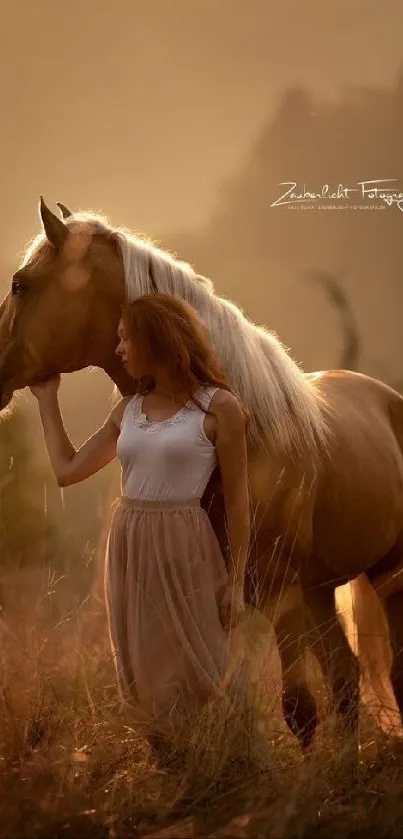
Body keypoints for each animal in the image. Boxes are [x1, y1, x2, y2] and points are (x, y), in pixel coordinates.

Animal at [0, 199, 400, 756]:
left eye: (21, 284)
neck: (256, 428)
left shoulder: (278, 593)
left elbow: (298, 709)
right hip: (321, 591)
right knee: (345, 677)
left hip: (380, 578)